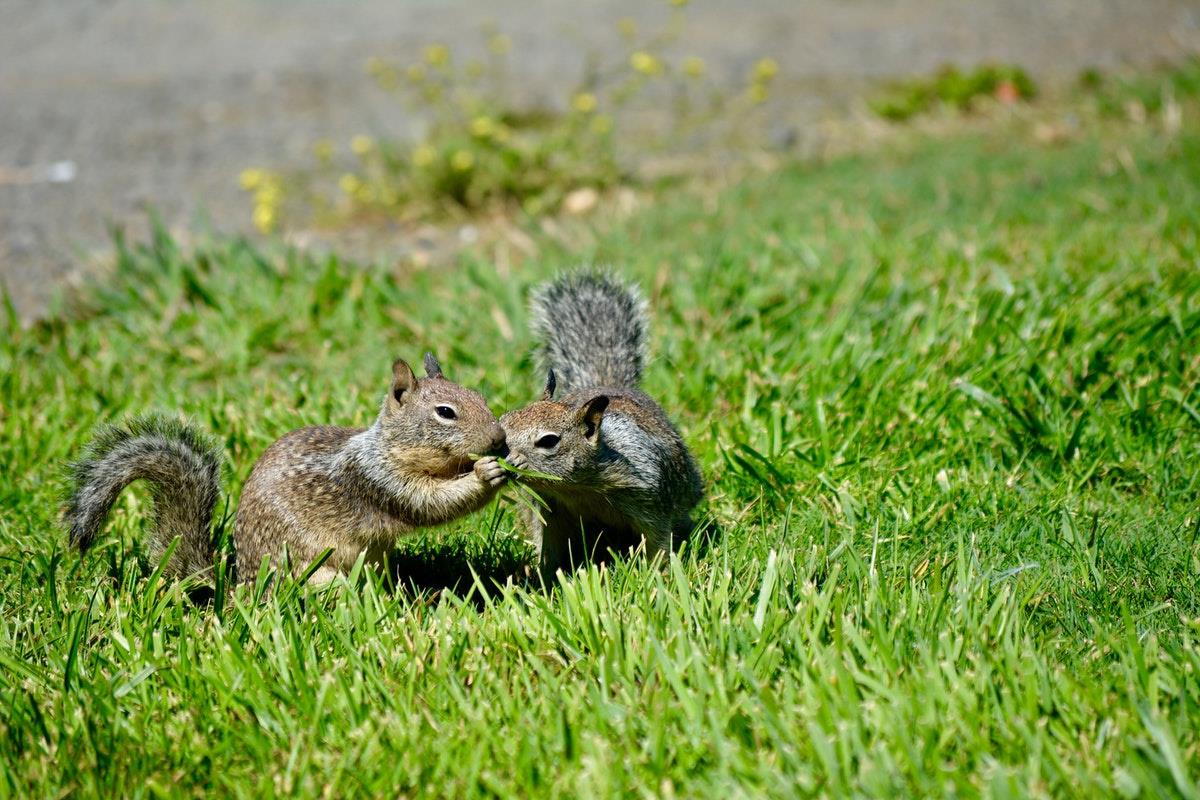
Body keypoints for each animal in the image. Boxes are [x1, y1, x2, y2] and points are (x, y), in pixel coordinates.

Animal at [65, 353, 509, 586]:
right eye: (445, 412)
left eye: (479, 395)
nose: (499, 440)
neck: (387, 447)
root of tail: (240, 590)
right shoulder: (378, 481)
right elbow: (431, 503)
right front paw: (487, 474)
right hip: (315, 573)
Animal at [500, 271, 703, 582]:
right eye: (504, 422)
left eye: (548, 441)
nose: (506, 461)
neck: (578, 488)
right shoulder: (549, 511)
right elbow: (549, 548)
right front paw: (542, 578)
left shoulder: (650, 499)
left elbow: (657, 540)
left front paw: (658, 576)